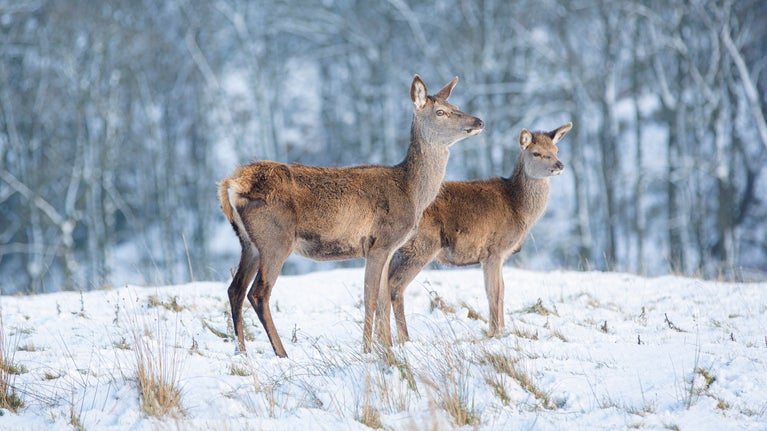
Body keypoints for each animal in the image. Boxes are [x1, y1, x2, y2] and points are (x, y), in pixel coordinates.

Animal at [217, 75, 484, 357]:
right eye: (441, 112)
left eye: (456, 105)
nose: (479, 121)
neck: (411, 192)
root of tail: (230, 184)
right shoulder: (380, 242)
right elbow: (370, 299)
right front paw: (369, 350)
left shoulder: (387, 249)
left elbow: (383, 298)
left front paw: (388, 347)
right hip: (275, 239)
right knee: (258, 293)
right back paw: (281, 354)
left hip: (249, 242)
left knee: (235, 289)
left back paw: (242, 351)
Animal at [385, 122, 572, 342]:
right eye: (536, 153)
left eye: (556, 150)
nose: (559, 165)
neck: (518, 208)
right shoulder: (494, 250)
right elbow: (494, 292)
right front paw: (496, 332)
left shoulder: (499, 256)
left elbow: (502, 291)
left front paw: (502, 329)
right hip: (421, 247)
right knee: (395, 285)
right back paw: (404, 339)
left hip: (400, 251)